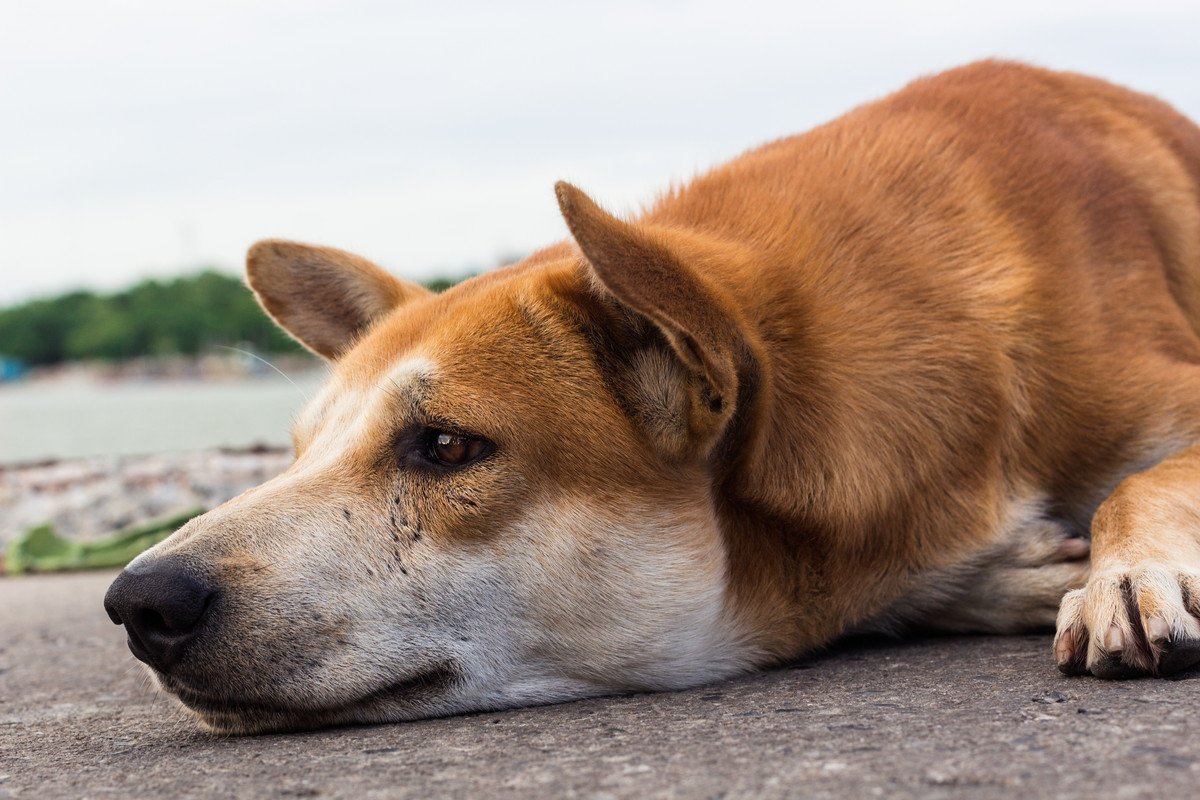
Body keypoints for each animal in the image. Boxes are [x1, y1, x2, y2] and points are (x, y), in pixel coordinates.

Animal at [100, 61, 1200, 738]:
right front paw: (1017, 574)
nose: (137, 601)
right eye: (298, 452)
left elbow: (1137, 483)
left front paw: (1124, 572)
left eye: (447, 446)